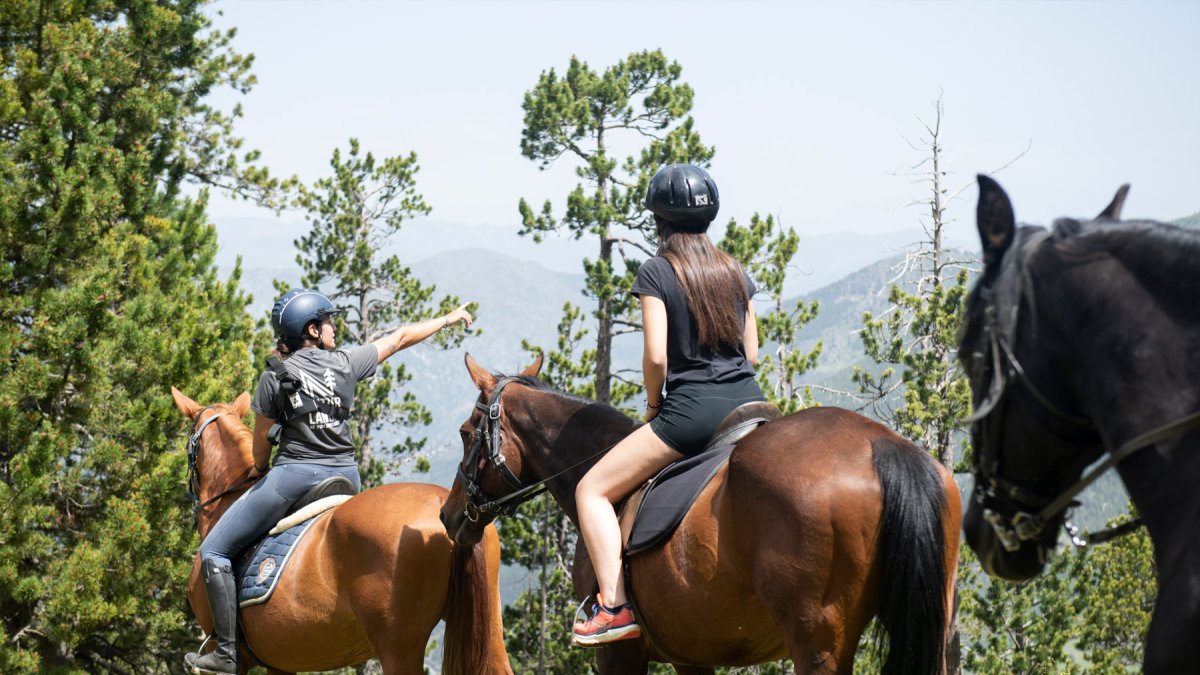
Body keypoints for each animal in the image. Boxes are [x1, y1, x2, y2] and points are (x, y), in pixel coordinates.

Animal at [436, 355, 960, 667]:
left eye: (464, 433)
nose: (448, 515)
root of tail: (881, 445)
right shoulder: (694, 653)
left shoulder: (620, 657)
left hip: (818, 644)